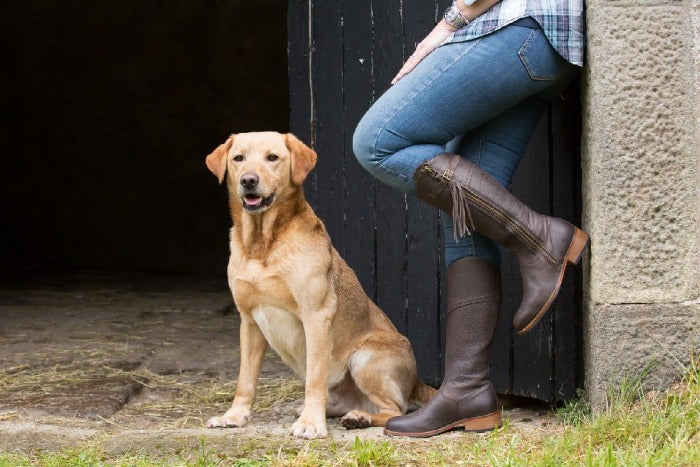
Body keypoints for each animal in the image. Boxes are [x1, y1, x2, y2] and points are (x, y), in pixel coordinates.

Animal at [204, 133, 432, 440]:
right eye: (238, 158)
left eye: (272, 157)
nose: (248, 180)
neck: (263, 243)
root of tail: (418, 380)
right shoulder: (249, 321)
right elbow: (245, 379)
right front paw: (234, 416)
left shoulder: (316, 316)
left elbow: (314, 377)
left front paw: (311, 424)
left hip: (364, 358)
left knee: (396, 409)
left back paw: (358, 417)